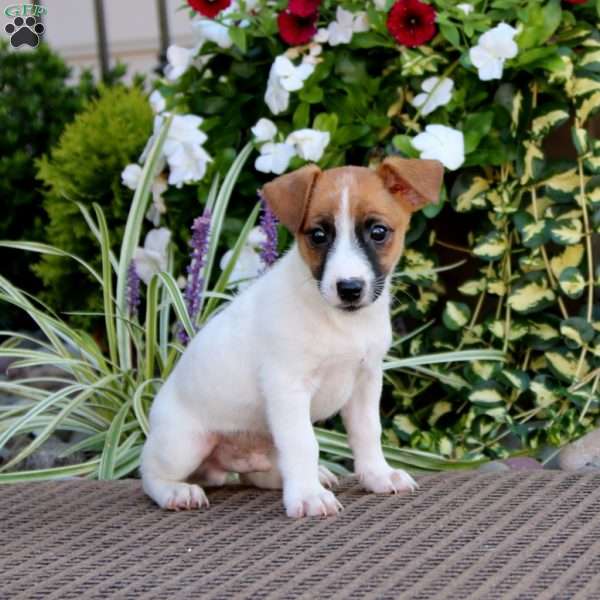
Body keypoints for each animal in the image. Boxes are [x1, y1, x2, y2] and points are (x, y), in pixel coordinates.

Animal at [142, 157, 446, 516]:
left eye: (378, 232)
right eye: (318, 235)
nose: (349, 288)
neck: (340, 321)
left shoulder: (366, 380)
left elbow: (367, 432)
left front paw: (378, 475)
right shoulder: (287, 386)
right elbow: (304, 443)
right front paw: (308, 495)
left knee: (263, 472)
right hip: (183, 444)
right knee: (150, 474)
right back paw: (177, 491)